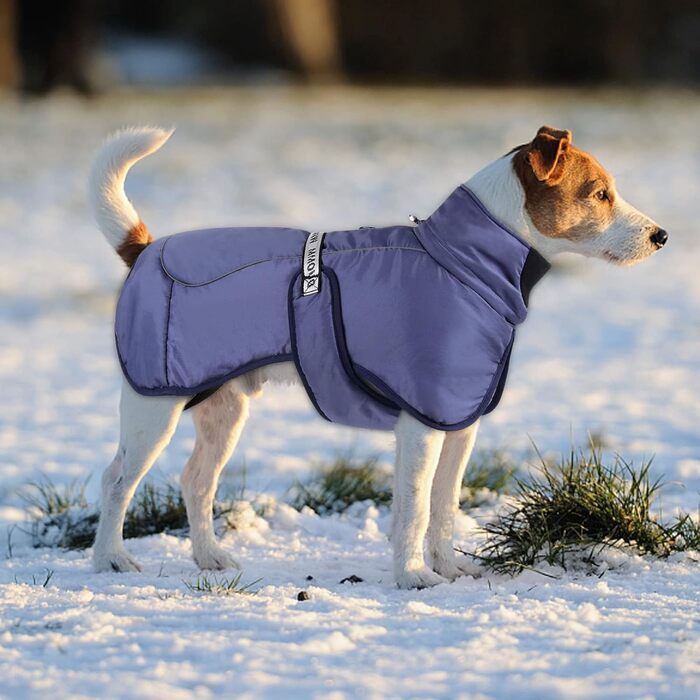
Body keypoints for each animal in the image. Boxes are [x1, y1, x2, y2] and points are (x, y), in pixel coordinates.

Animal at [87, 124, 668, 584]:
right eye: (599, 193)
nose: (661, 235)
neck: (462, 262)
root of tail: (144, 248)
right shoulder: (422, 424)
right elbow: (414, 508)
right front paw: (413, 577)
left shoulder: (460, 425)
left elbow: (444, 507)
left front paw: (449, 568)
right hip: (153, 407)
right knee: (115, 481)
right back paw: (110, 560)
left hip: (224, 410)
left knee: (196, 482)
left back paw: (210, 557)